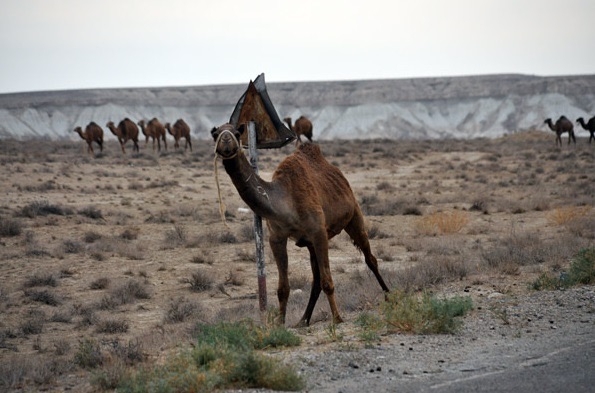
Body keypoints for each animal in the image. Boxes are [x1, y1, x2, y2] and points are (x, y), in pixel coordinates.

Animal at [212, 122, 388, 324]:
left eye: (236, 132)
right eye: (215, 134)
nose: (226, 141)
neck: (285, 199)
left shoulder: (319, 232)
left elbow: (328, 281)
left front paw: (337, 318)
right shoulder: (277, 238)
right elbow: (283, 288)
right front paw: (280, 323)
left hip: (354, 215)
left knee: (370, 259)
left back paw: (388, 296)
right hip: (311, 244)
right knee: (316, 279)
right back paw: (303, 320)